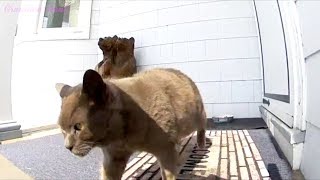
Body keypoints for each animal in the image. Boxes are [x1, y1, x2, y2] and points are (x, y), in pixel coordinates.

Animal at [56, 68, 206, 179]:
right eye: (62, 130)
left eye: (78, 127)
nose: (67, 147)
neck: (121, 137)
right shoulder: (113, 158)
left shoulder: (166, 149)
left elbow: (168, 174)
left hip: (195, 115)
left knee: (203, 121)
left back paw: (201, 143)